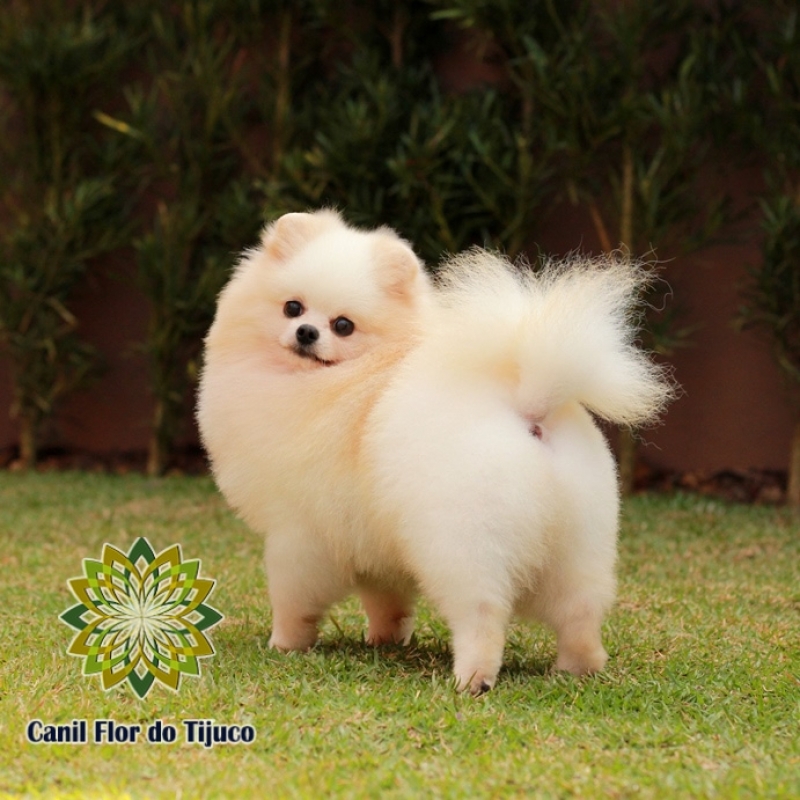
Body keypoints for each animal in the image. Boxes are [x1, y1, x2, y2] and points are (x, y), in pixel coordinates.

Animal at [197, 206, 672, 692]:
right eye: (292, 307)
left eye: (343, 325)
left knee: (482, 613)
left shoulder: (299, 532)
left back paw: (473, 678)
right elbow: (386, 600)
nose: (306, 331)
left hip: (464, 543)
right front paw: (385, 638)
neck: (341, 377)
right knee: (581, 610)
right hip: (580, 542)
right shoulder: (372, 545)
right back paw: (578, 667)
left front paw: (284, 643)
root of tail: (529, 405)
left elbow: (294, 598)